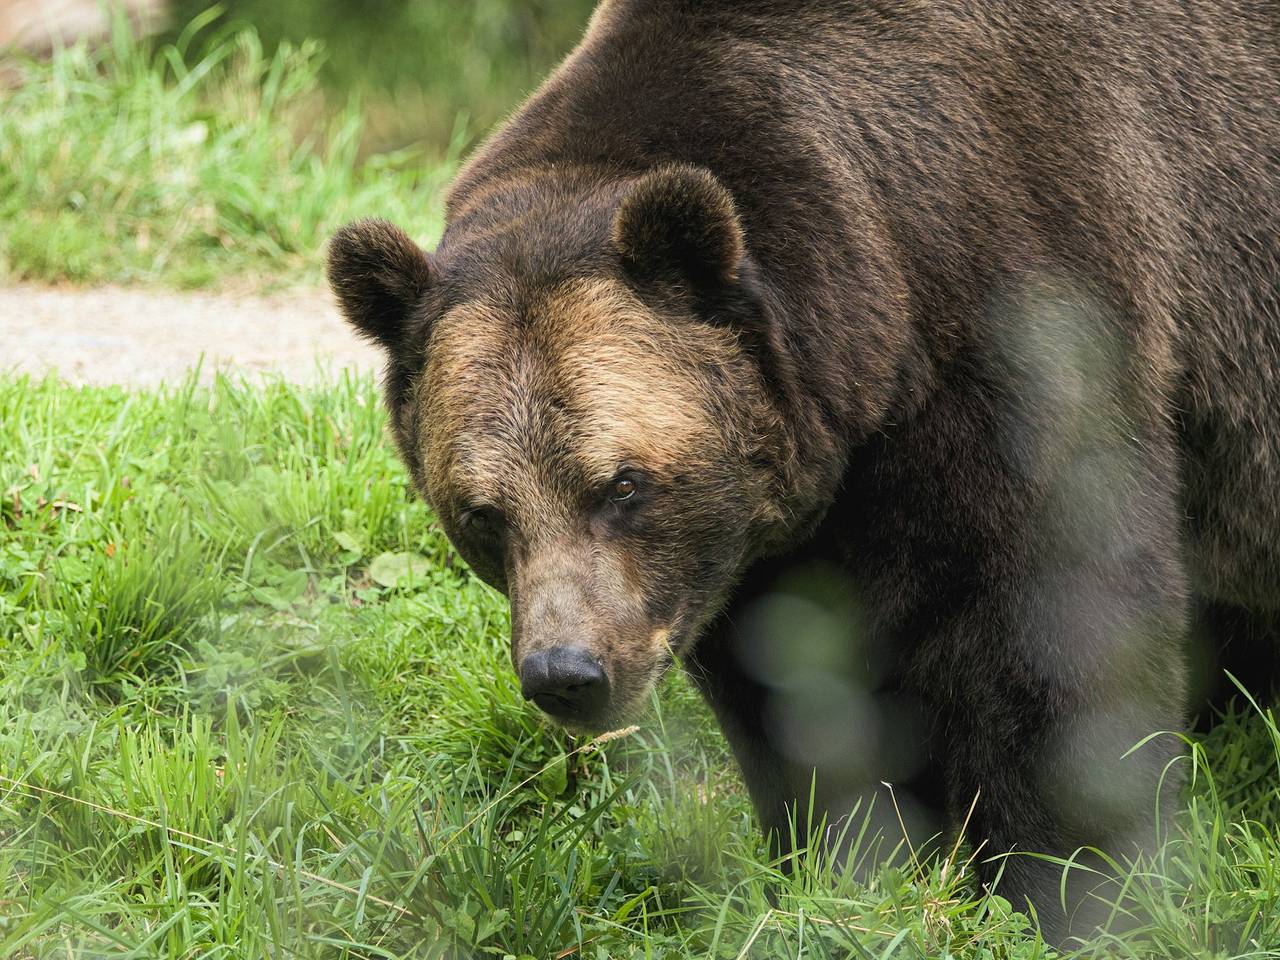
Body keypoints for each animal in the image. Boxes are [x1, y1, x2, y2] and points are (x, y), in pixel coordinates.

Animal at [327, 0, 1280, 946]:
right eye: (482, 513)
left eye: (623, 484)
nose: (566, 673)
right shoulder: (774, 534)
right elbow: (793, 686)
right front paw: (847, 864)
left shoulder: (1028, 317)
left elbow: (1053, 620)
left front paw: (1066, 890)